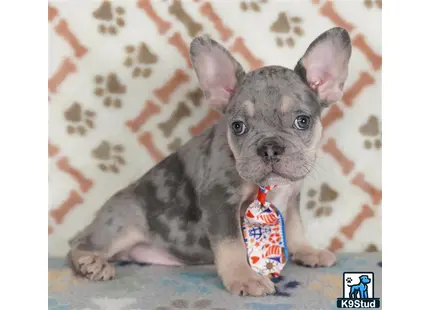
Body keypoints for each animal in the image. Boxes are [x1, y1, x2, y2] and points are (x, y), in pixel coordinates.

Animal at [67, 27, 350, 296]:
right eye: (237, 126)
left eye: (302, 121)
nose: (269, 147)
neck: (269, 187)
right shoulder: (220, 200)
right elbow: (232, 244)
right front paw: (243, 277)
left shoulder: (291, 197)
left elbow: (294, 226)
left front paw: (307, 250)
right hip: (123, 221)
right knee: (79, 246)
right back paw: (92, 264)